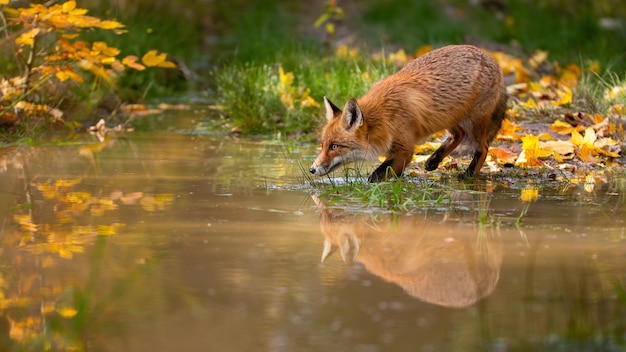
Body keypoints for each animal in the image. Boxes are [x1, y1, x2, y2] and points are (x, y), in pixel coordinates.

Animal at [308, 44, 508, 182]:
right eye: (322, 145)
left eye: (334, 146)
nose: (312, 169)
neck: (383, 117)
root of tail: (492, 58)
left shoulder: (405, 149)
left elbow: (377, 176)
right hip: (449, 118)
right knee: (458, 135)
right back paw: (433, 160)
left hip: (473, 121)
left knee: (483, 148)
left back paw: (468, 175)